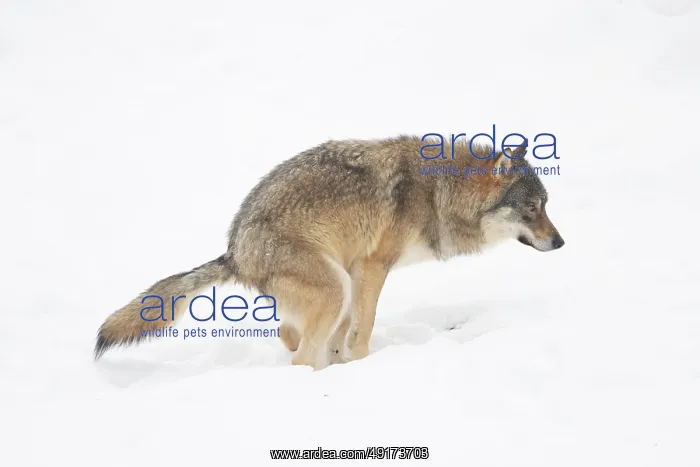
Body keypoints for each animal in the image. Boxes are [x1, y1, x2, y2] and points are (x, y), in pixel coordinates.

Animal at [94, 136, 564, 370]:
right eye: (532, 208)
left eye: (546, 205)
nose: (560, 243)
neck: (439, 192)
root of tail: (234, 251)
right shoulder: (372, 266)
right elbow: (365, 325)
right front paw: (361, 364)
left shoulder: (358, 269)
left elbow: (347, 330)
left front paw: (344, 361)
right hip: (334, 285)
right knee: (300, 355)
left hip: (335, 281)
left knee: (289, 333)